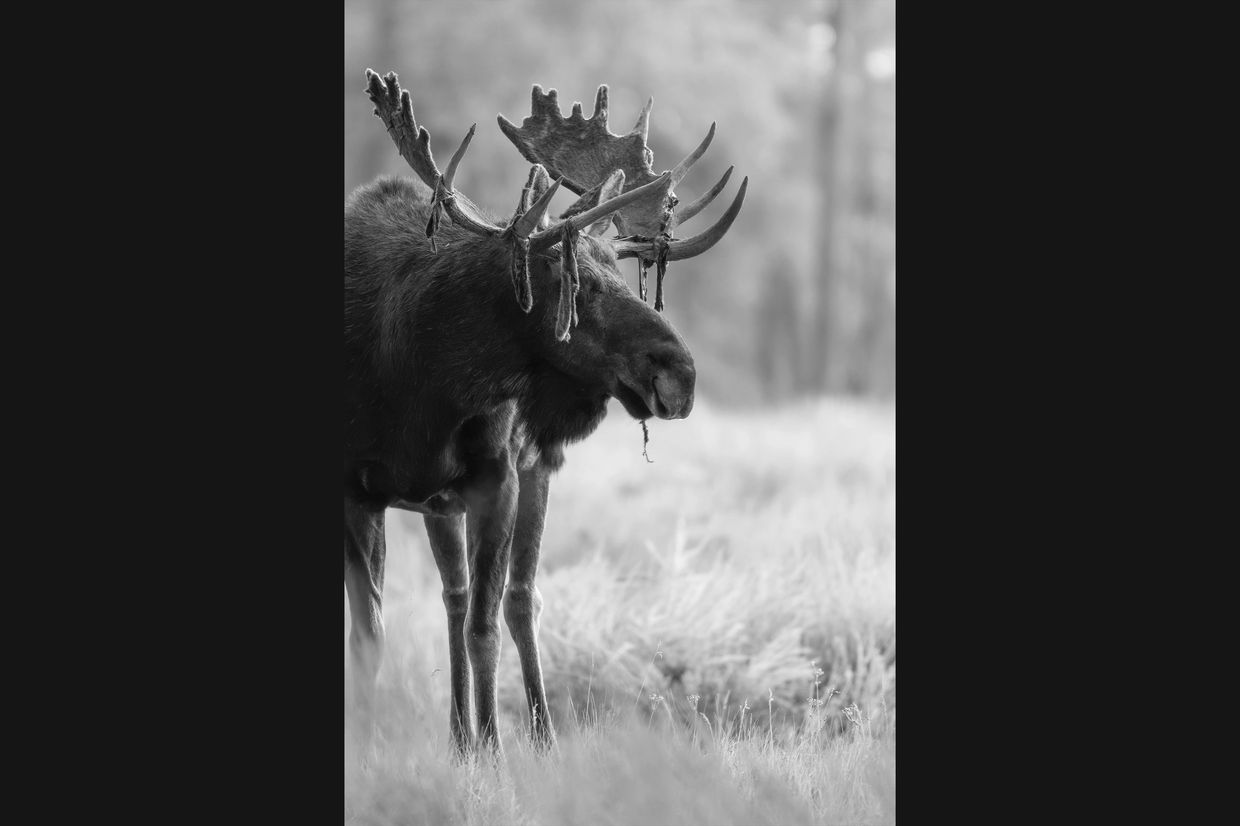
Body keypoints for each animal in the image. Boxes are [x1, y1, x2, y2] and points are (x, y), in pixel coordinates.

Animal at [345, 69, 747, 754]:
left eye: (622, 272)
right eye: (576, 284)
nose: (682, 375)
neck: (416, 373)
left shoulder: (498, 476)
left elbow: (487, 625)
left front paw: (495, 754)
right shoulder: (354, 490)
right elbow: (369, 635)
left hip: (528, 471)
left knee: (517, 599)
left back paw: (531, 737)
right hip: (437, 501)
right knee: (455, 596)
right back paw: (459, 738)